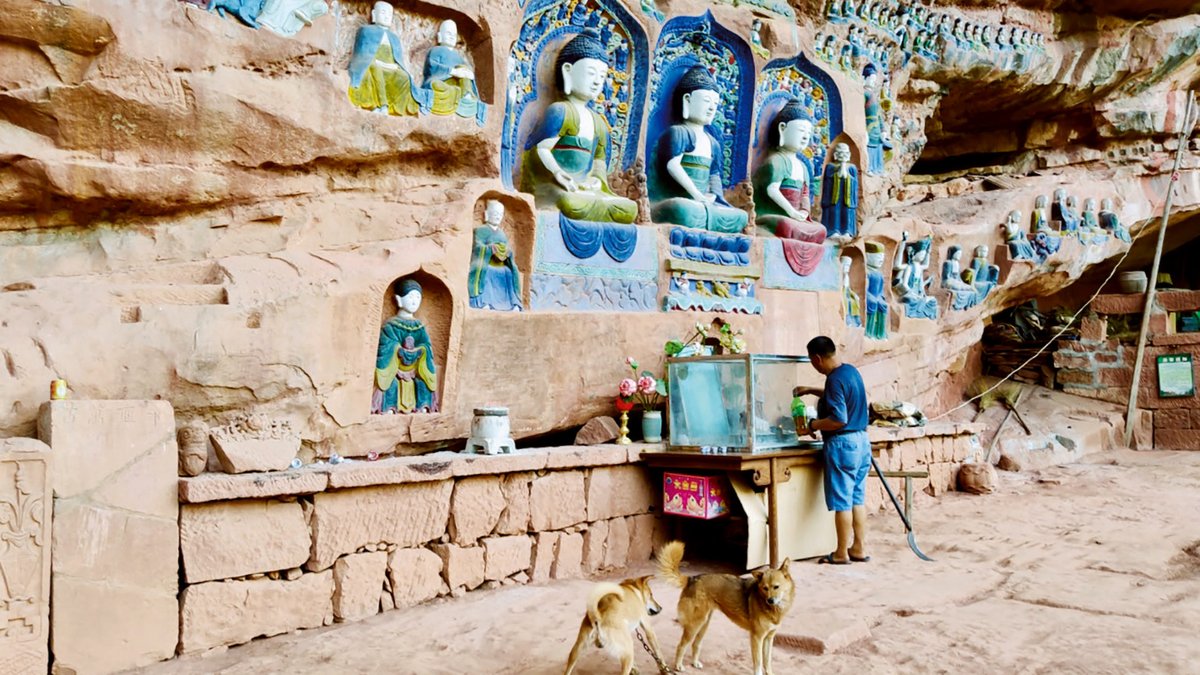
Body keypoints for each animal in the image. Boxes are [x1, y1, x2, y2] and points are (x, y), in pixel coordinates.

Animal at [657, 540, 796, 672]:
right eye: (765, 588)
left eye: (776, 587)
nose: (770, 600)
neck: (772, 608)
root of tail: (692, 578)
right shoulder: (757, 637)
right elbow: (759, 663)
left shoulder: (769, 637)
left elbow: (767, 662)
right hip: (695, 625)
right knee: (681, 645)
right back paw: (678, 666)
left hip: (704, 624)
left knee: (695, 644)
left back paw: (695, 663)